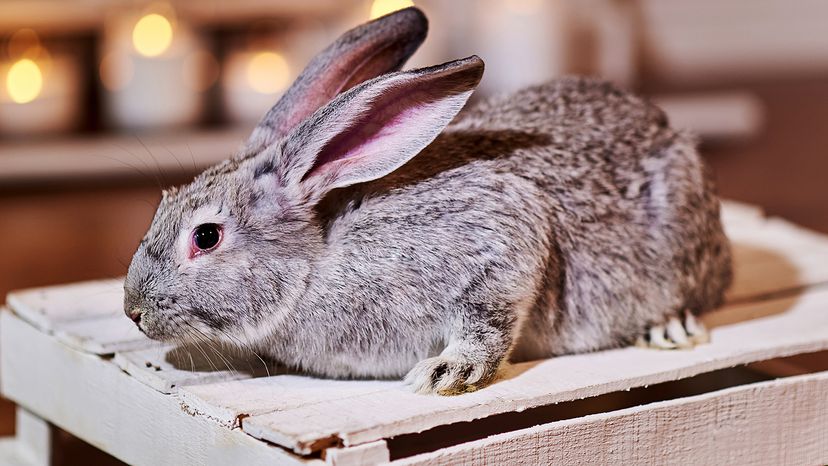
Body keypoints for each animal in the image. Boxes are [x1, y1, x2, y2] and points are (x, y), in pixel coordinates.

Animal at [124, 7, 732, 395]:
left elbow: (489, 316)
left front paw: (448, 372)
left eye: (206, 237)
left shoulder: (497, 235)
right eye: (161, 205)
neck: (317, 260)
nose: (133, 310)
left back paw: (669, 327)